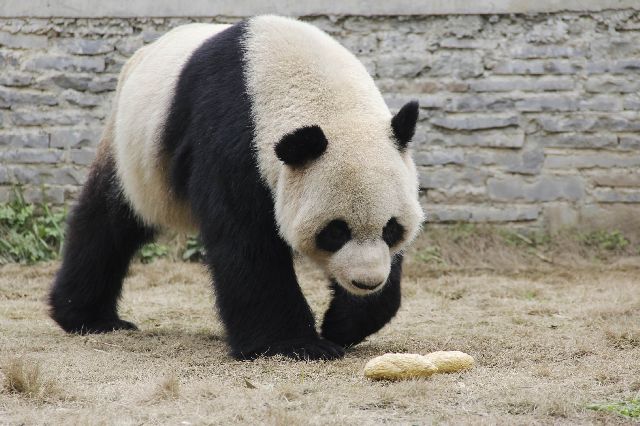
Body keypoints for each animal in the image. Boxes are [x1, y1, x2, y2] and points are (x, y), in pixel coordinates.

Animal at [50, 15, 424, 360]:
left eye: (391, 229)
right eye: (335, 231)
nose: (366, 282)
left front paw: (342, 324)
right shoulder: (233, 136)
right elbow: (245, 240)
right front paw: (295, 344)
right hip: (133, 151)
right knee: (109, 220)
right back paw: (87, 317)